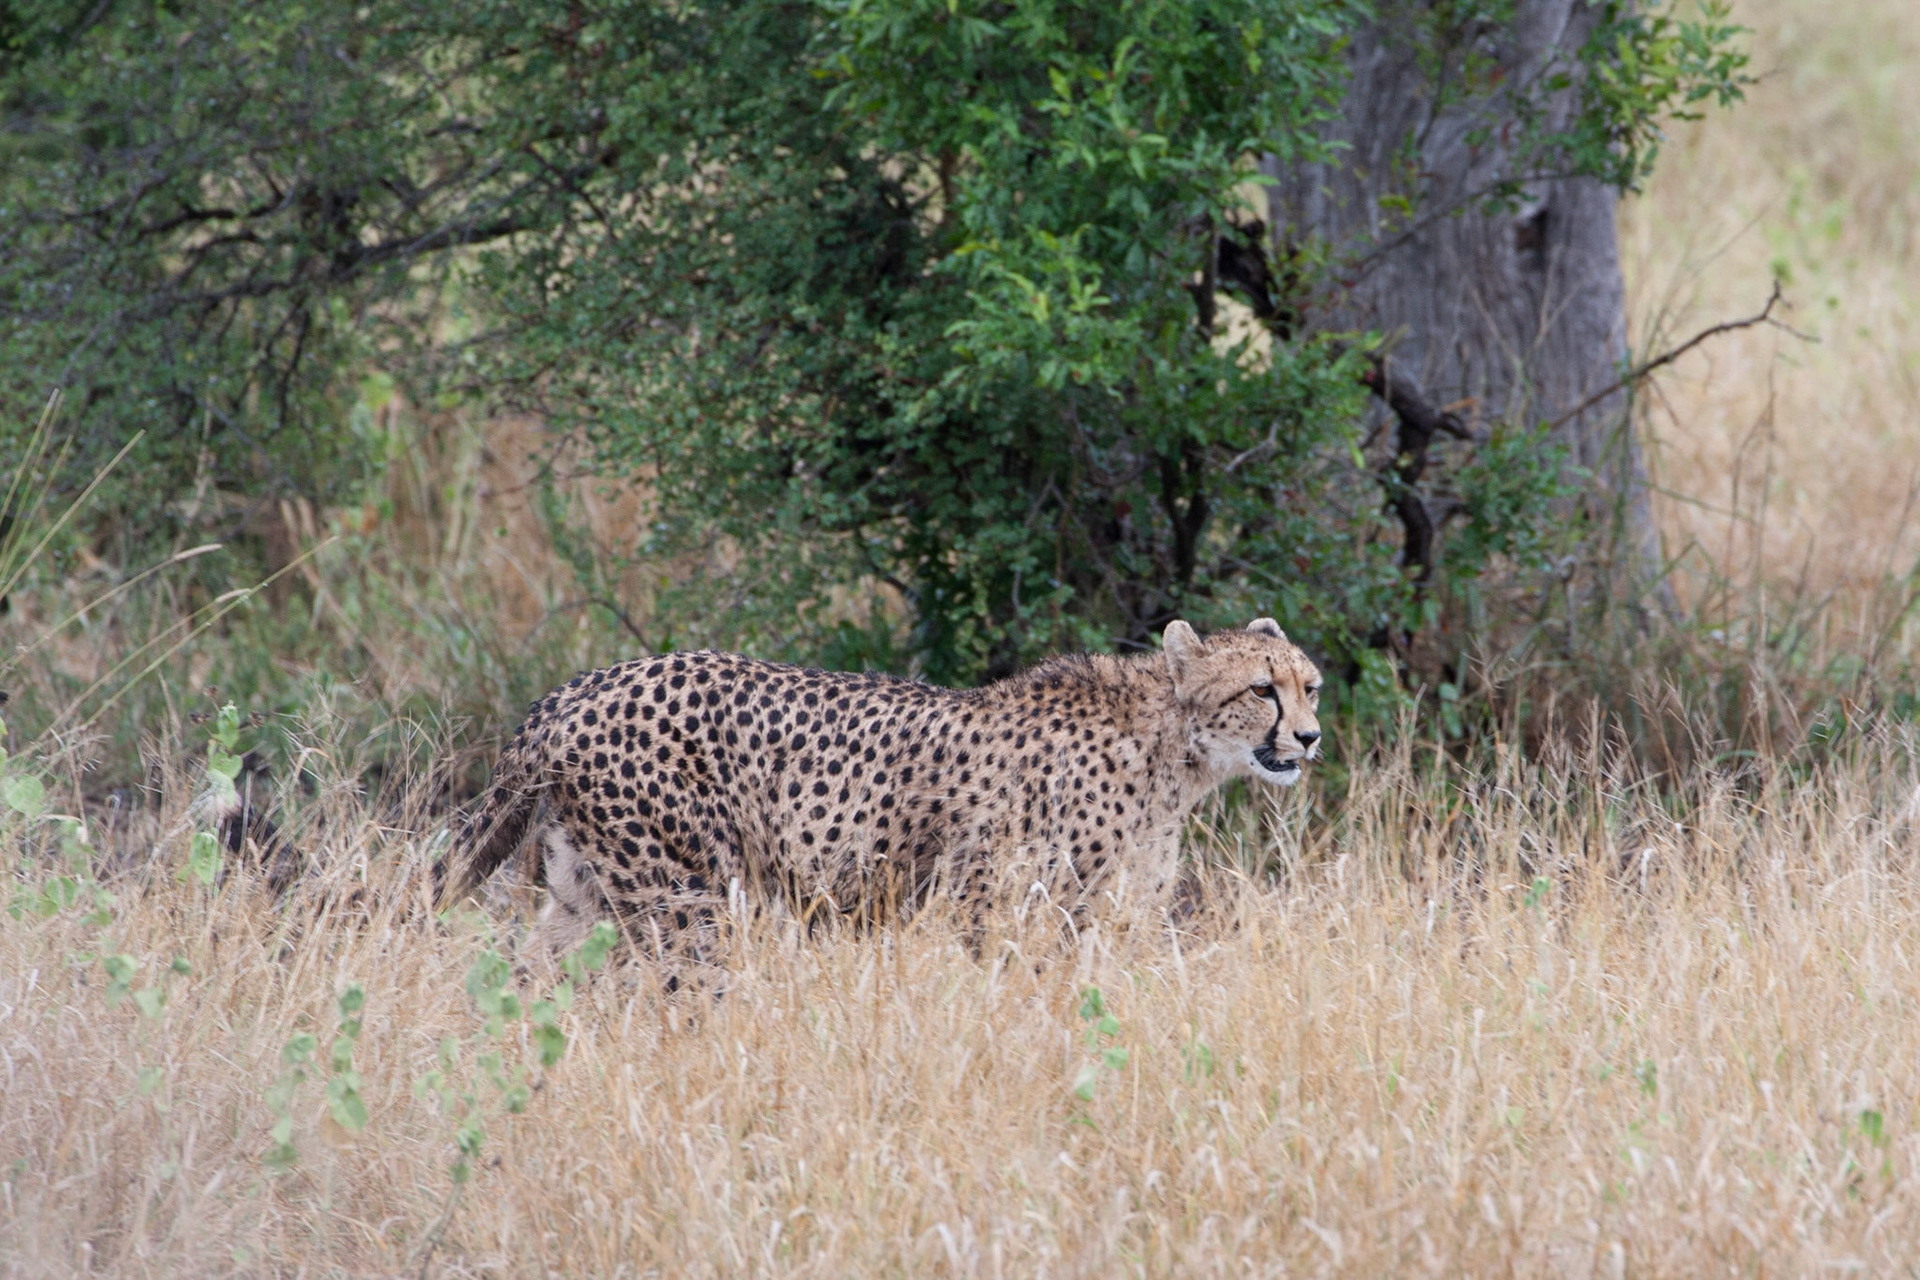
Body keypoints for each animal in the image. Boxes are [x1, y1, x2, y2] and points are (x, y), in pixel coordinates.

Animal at [437, 618, 1322, 973]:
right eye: (1261, 690)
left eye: (1308, 686)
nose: (1310, 738)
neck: (1174, 751)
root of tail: (583, 683)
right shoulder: (985, 906)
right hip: (686, 899)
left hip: (587, 892)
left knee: (523, 982)